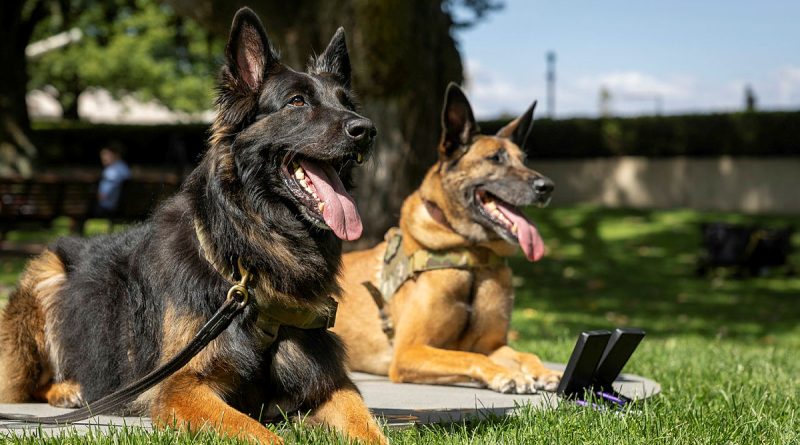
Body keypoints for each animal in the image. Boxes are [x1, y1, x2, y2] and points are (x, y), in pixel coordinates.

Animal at [0, 6, 388, 444]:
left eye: (346, 103)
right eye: (297, 102)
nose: (366, 130)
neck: (247, 261)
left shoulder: (329, 381)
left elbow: (370, 428)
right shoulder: (181, 385)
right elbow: (263, 433)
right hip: (45, 273)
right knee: (29, 386)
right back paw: (68, 389)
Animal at [334, 83, 560, 392]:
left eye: (524, 160)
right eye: (495, 158)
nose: (546, 187)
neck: (471, 255)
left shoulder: (491, 344)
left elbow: (524, 354)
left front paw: (543, 371)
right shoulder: (409, 351)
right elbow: (467, 356)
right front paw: (507, 375)